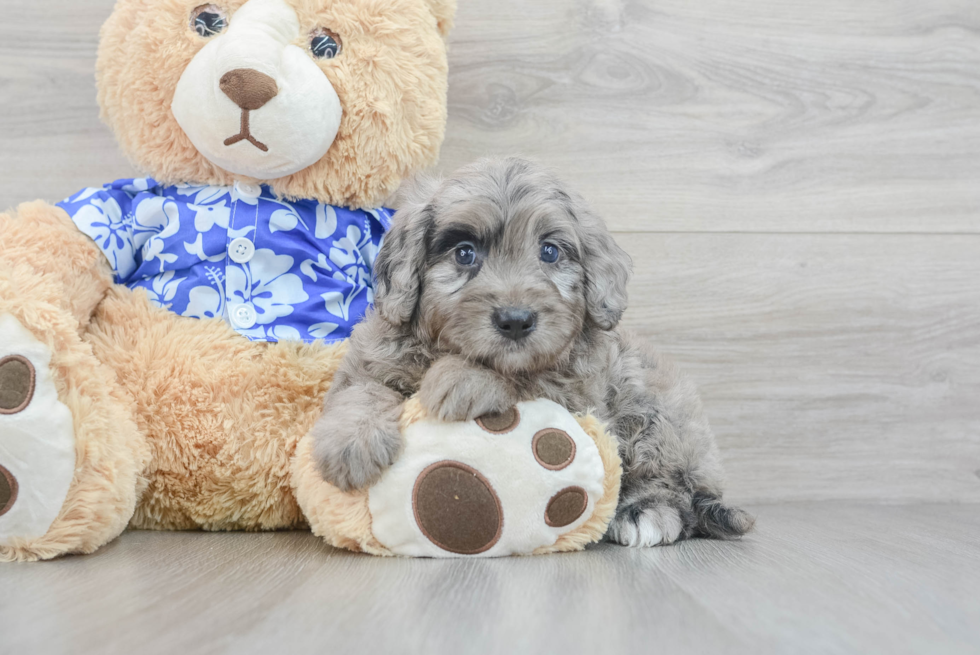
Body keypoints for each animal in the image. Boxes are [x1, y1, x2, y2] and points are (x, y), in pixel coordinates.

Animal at [310, 156, 756, 544]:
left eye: (549, 251)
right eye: (465, 253)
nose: (515, 320)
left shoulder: (578, 394)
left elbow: (521, 378)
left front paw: (460, 380)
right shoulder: (373, 358)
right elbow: (361, 391)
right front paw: (351, 445)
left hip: (655, 415)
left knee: (675, 484)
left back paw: (643, 512)